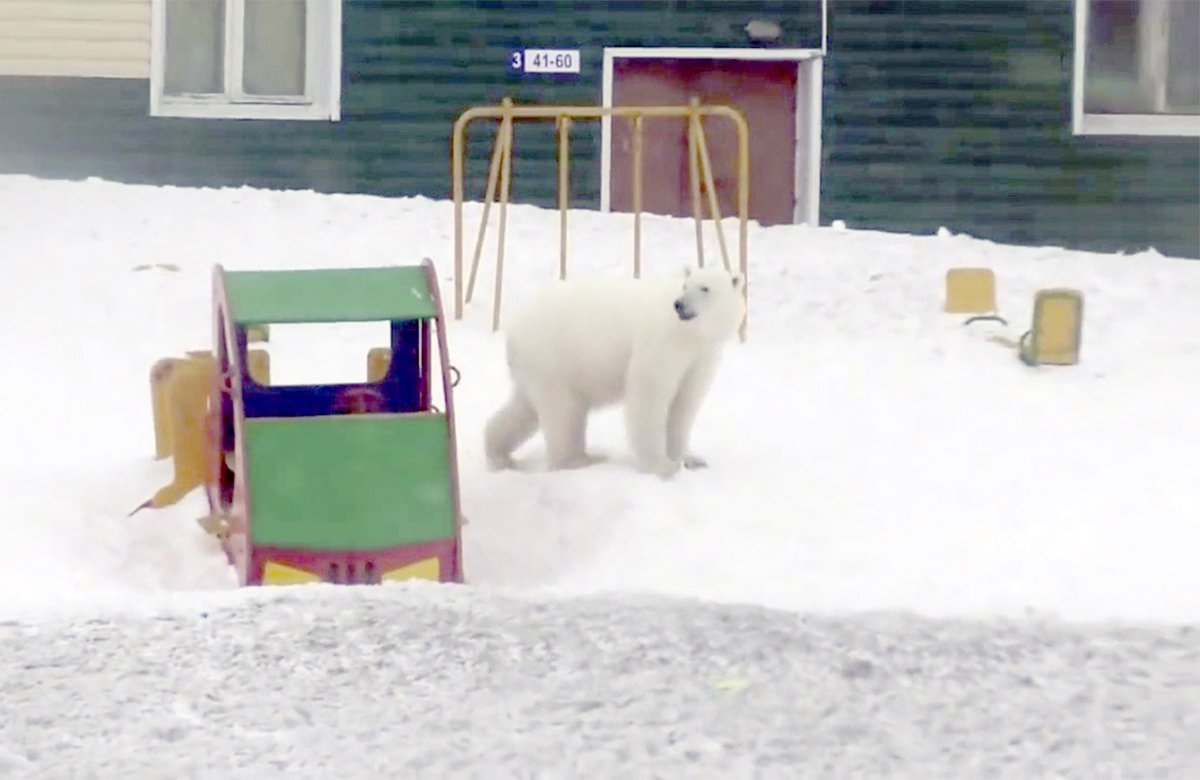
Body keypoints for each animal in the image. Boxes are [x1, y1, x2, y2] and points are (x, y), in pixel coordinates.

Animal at [484, 264, 744, 477]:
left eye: (705, 288)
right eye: (685, 285)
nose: (679, 304)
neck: (689, 335)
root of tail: (514, 331)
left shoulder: (702, 355)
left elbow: (685, 402)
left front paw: (690, 459)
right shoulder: (660, 343)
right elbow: (650, 393)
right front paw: (662, 465)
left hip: (539, 368)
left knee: (524, 409)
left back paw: (499, 454)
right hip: (553, 358)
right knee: (564, 412)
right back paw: (582, 460)